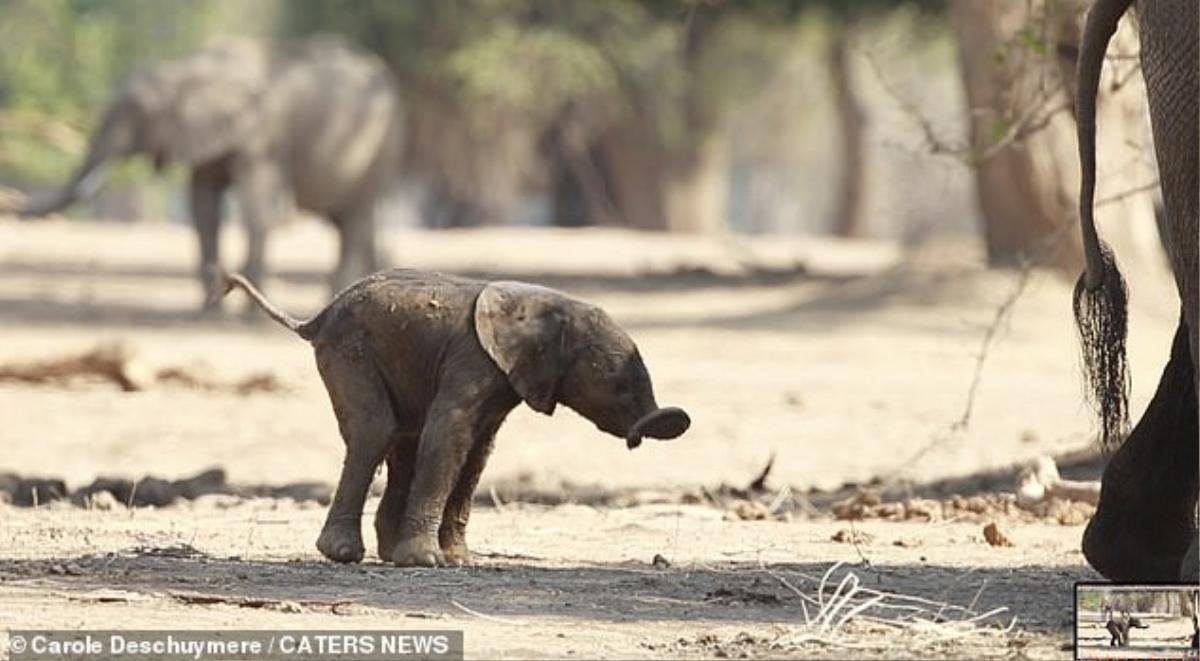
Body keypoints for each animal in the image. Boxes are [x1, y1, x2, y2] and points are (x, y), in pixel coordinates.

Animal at [18, 38, 403, 307]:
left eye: (140, 110)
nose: (17, 207)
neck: (189, 68)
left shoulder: (261, 135)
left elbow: (255, 206)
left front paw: (245, 311)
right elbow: (203, 205)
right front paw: (211, 307)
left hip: (381, 146)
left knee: (355, 219)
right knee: (353, 221)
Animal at [219, 266, 691, 566]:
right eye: (616, 381)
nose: (673, 420)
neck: (550, 306)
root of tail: (317, 317)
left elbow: (478, 450)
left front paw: (459, 560)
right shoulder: (473, 358)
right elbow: (451, 433)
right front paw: (429, 561)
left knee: (403, 438)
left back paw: (389, 554)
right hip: (349, 351)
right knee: (376, 431)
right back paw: (348, 555)